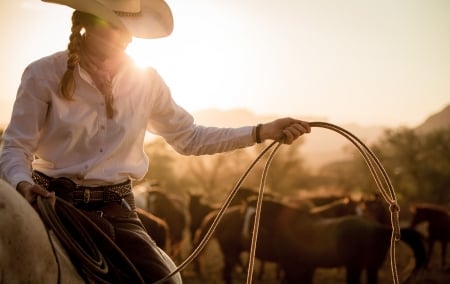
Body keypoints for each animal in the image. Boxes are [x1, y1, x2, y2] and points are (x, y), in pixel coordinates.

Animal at [195, 197, 428, 284]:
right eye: (247, 214)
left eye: (254, 216)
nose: (246, 234)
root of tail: (378, 228)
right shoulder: (301, 266)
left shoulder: (295, 266)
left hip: (358, 267)